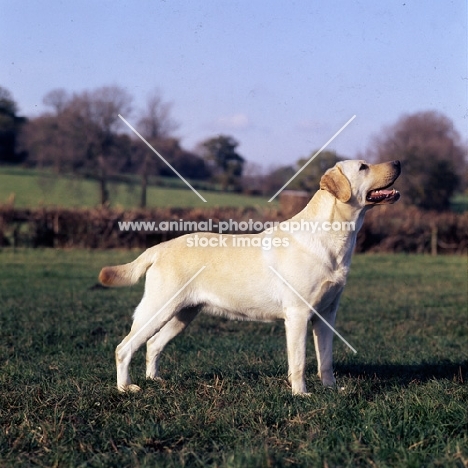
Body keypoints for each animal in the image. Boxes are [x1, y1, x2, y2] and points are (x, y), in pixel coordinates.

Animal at [98, 159, 398, 394]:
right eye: (363, 166)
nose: (398, 163)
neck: (333, 236)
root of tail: (158, 248)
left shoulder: (327, 314)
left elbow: (326, 359)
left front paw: (331, 390)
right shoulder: (298, 314)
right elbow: (299, 361)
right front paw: (301, 394)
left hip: (182, 314)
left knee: (152, 345)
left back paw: (155, 380)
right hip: (158, 308)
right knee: (124, 348)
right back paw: (126, 387)